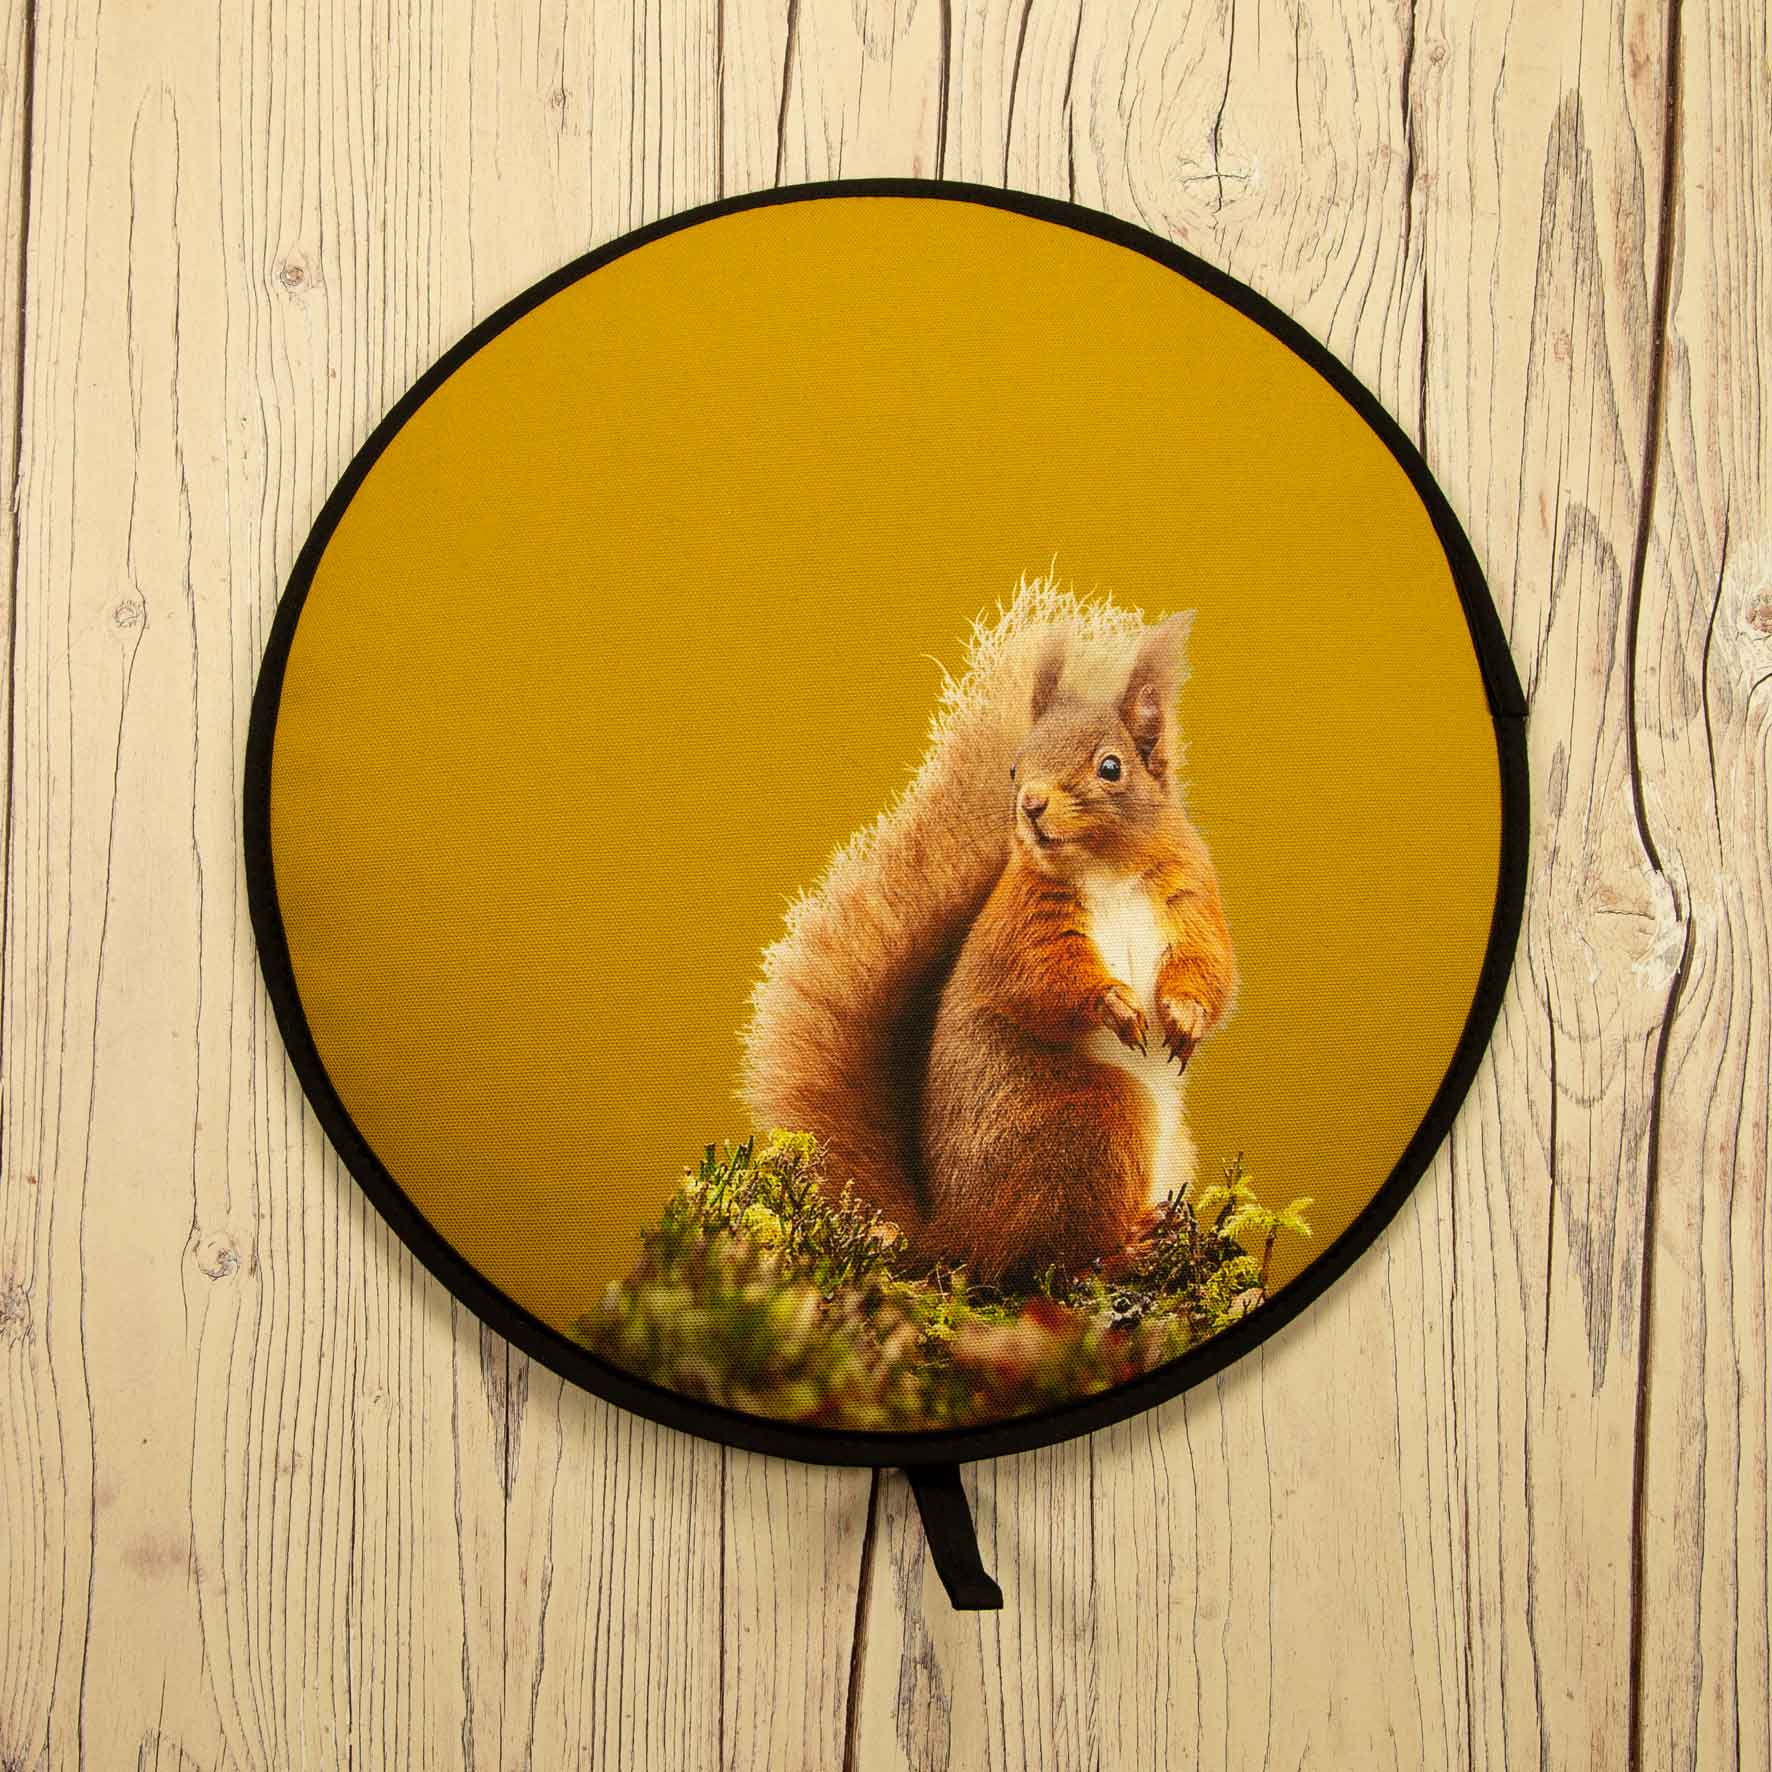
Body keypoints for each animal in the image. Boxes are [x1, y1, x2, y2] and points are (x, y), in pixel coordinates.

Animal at [741, 577, 1236, 1284]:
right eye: (1013, 767)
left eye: (1111, 767)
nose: (1030, 804)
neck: (1105, 868)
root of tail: (957, 1234)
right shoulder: (1023, 923)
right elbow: (1045, 979)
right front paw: (1114, 1004)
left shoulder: (1190, 897)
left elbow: (1209, 965)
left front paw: (1187, 1016)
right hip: (1096, 1122)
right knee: (1062, 1256)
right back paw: (1131, 1246)